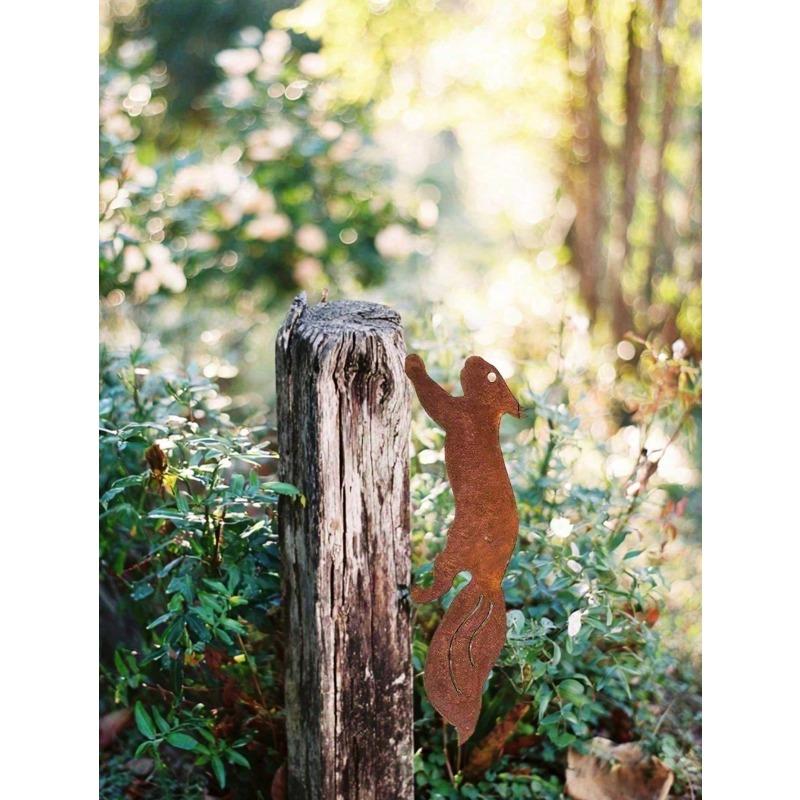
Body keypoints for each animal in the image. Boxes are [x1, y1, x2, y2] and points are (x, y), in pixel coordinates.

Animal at [405, 353, 521, 742]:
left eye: (491, 375)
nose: (471, 359)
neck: (484, 413)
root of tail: (489, 582)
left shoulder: (457, 413)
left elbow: (434, 400)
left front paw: (414, 364)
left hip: (456, 544)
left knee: (443, 580)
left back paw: (415, 591)